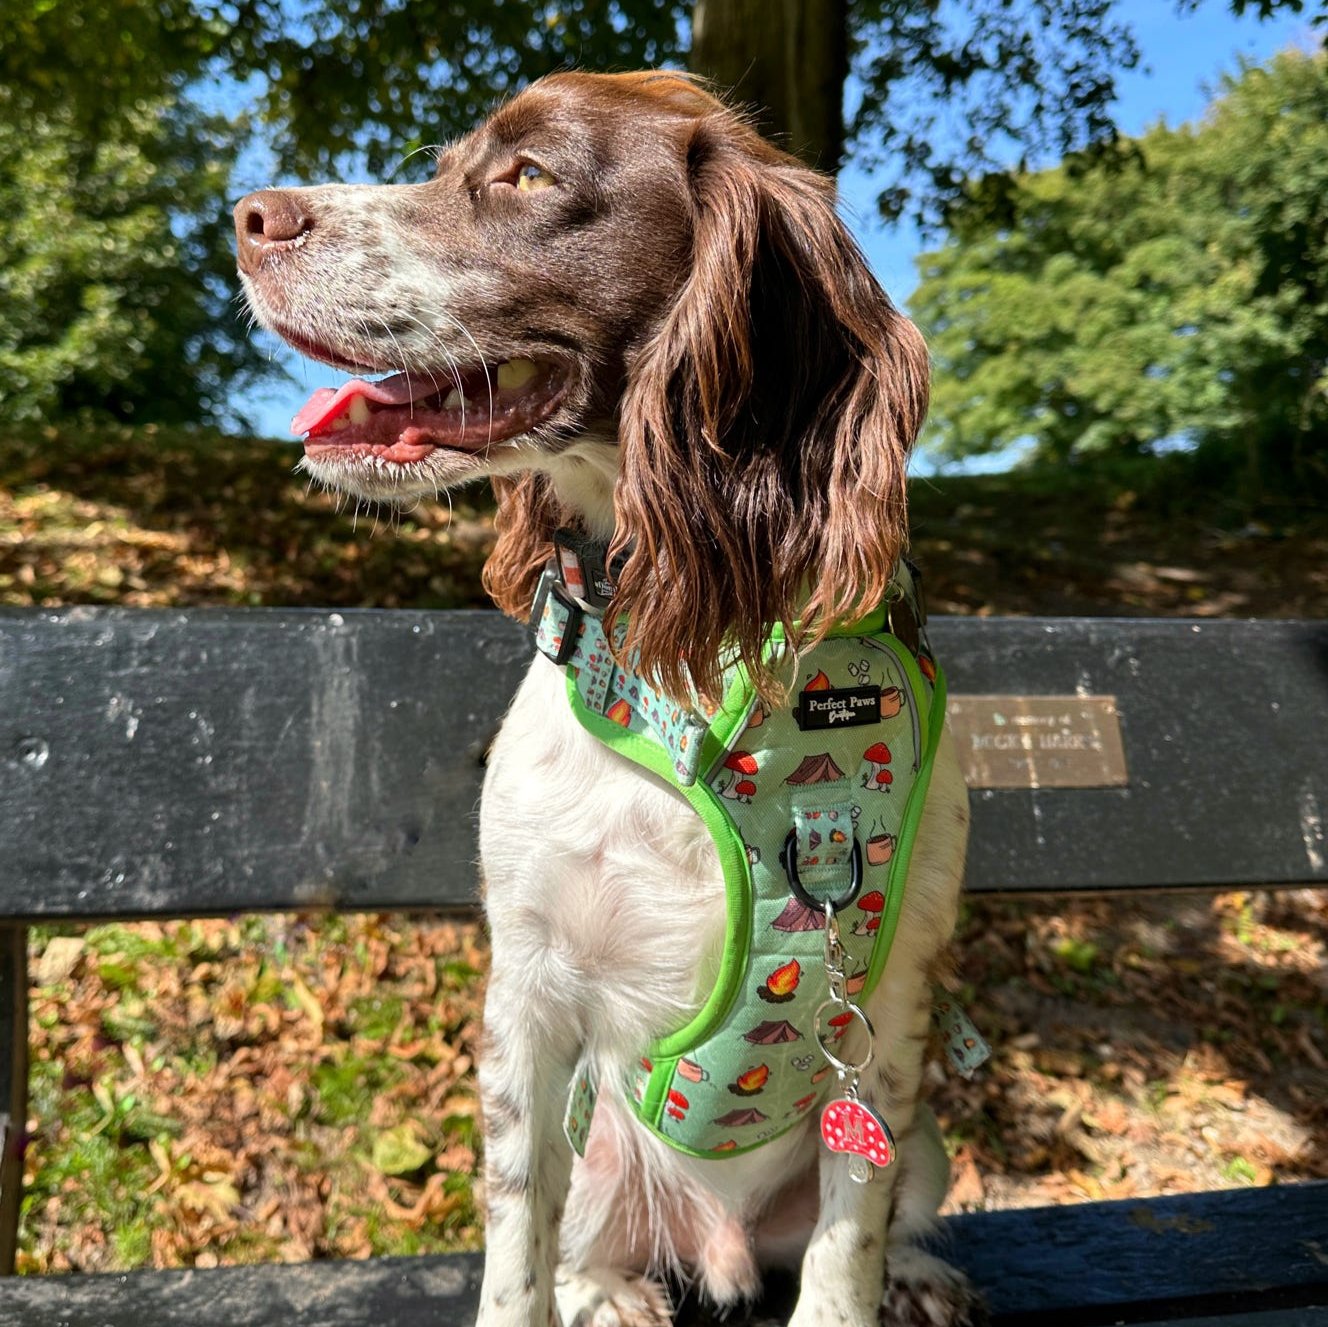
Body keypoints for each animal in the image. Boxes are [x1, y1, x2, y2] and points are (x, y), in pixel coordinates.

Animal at [233, 70, 972, 1327]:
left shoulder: (886, 1013)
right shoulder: (524, 993)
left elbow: (842, 1258)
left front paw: (876, 1279)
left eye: (526, 176)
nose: (243, 215)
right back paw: (611, 1290)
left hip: (919, 1137)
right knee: (582, 1229)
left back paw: (917, 1275)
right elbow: (513, 1238)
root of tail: (719, 1242)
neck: (696, 661)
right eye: (452, 162)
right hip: (606, 1151)